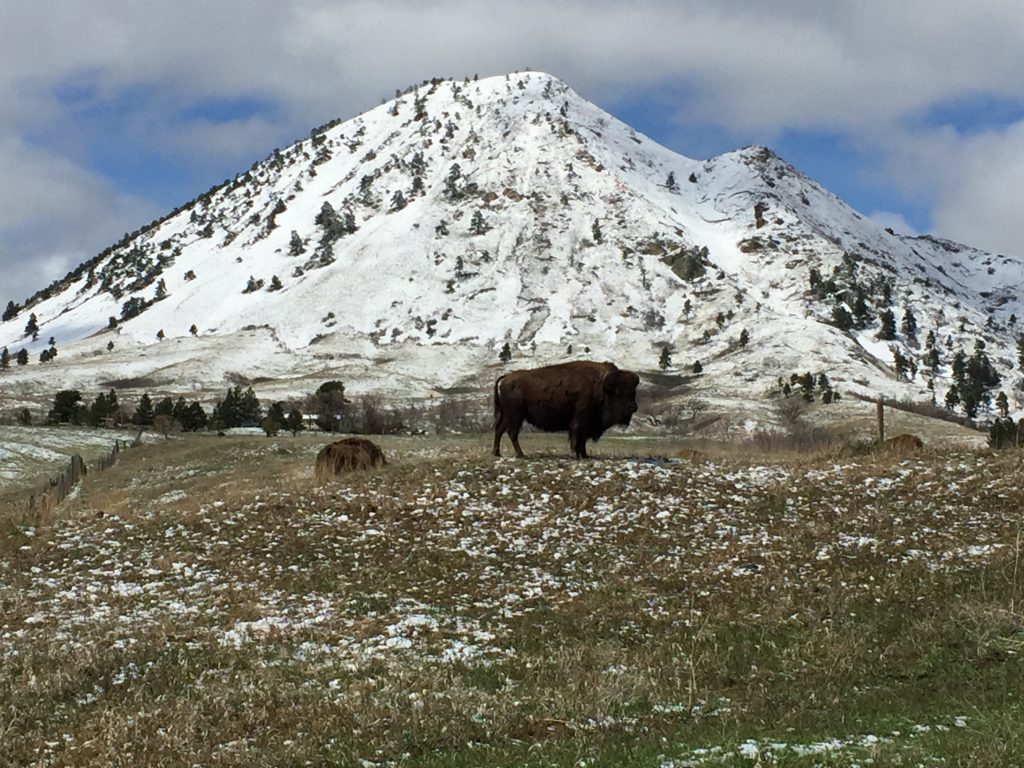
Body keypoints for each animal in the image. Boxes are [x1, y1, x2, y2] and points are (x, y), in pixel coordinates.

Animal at [489, 360, 638, 456]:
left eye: (633, 392)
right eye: (618, 392)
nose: (633, 407)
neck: (601, 387)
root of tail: (506, 378)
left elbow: (582, 440)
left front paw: (585, 455)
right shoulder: (580, 421)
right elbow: (578, 437)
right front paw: (577, 455)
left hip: (508, 415)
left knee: (500, 430)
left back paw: (497, 453)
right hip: (516, 416)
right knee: (512, 433)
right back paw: (520, 454)